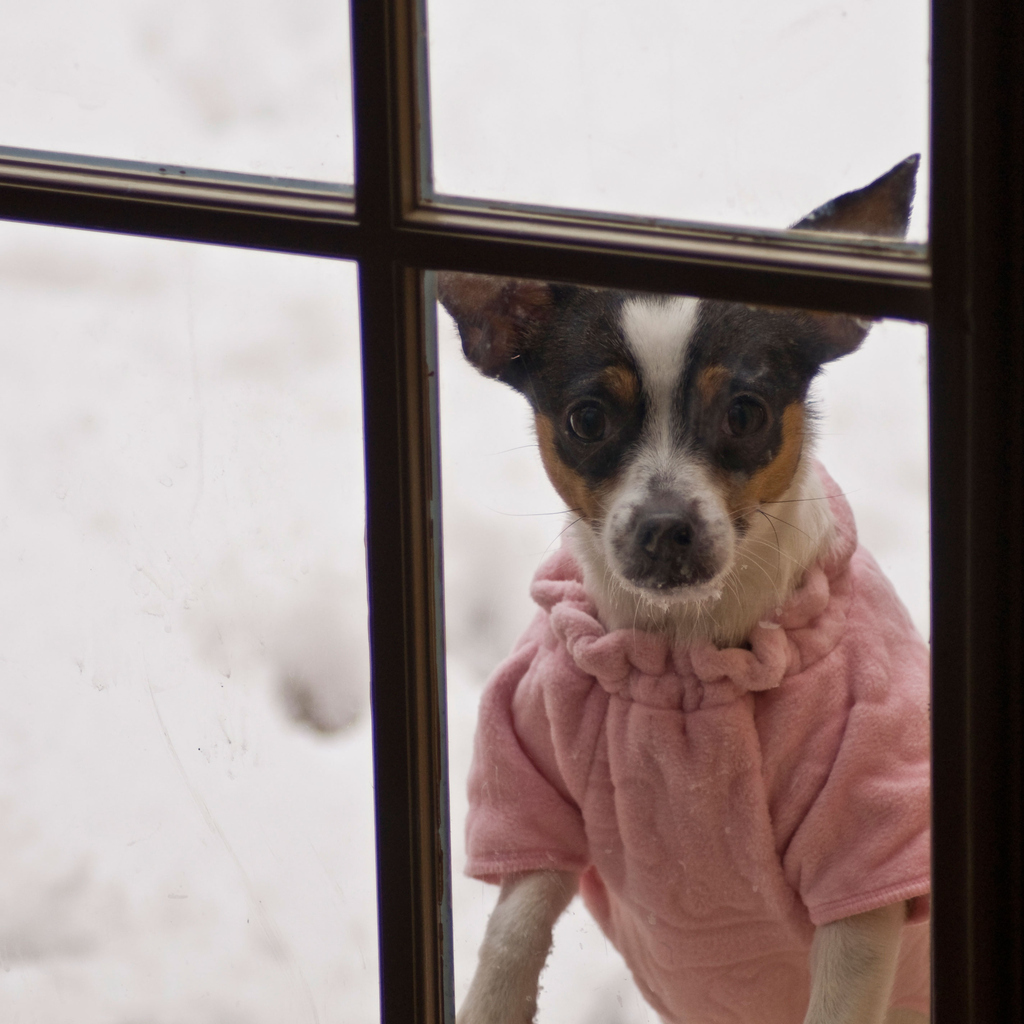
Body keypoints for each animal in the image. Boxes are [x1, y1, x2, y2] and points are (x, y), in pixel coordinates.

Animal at [436, 153, 933, 1024]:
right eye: (587, 420)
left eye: (745, 413)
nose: (666, 525)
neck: (684, 647)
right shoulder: (532, 795)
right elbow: (512, 929)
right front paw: (492, 1002)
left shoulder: (865, 863)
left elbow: (837, 998)